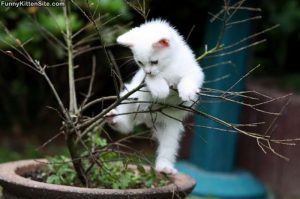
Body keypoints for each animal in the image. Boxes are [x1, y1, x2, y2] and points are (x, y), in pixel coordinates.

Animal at [105, 19, 204, 174]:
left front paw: (187, 91)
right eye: (140, 62)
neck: (169, 66)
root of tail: (146, 118)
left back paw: (165, 166)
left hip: (170, 128)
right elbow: (153, 81)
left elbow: (188, 80)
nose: (148, 71)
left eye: (154, 62)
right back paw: (114, 119)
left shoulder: (194, 71)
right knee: (126, 126)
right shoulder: (143, 81)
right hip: (130, 99)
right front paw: (161, 90)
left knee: (167, 148)